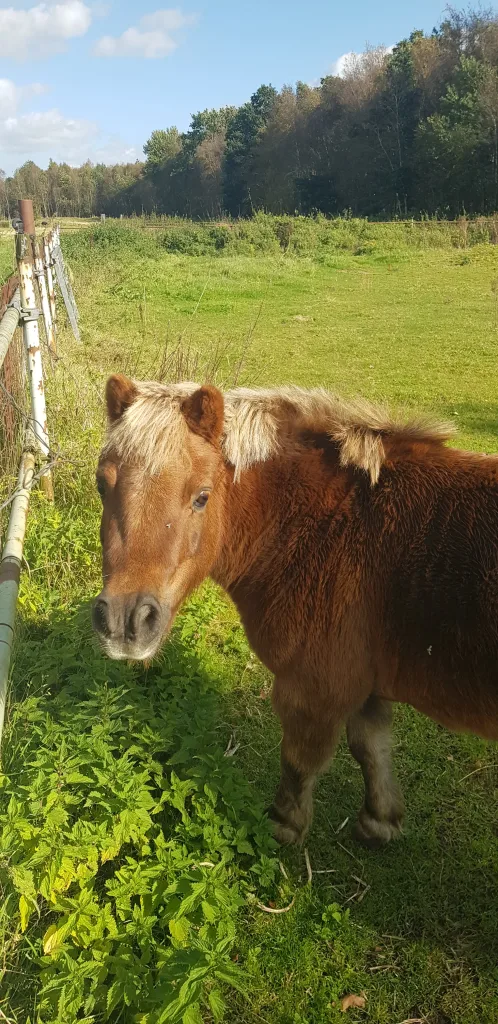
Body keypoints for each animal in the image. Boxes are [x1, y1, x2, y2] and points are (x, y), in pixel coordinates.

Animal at [93, 374, 498, 847]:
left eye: (202, 497)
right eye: (101, 486)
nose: (125, 621)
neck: (326, 524)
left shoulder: (313, 689)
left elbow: (300, 761)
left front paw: (282, 824)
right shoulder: (365, 685)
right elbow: (371, 748)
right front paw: (380, 820)